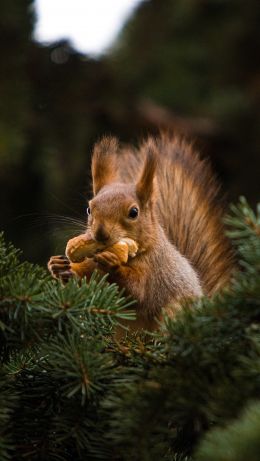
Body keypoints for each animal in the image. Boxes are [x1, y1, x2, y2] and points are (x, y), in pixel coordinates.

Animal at [47, 133, 235, 330]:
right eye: (89, 209)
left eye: (133, 212)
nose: (100, 233)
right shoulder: (93, 265)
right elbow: (86, 278)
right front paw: (59, 267)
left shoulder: (154, 269)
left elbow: (138, 291)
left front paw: (113, 263)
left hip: (174, 312)